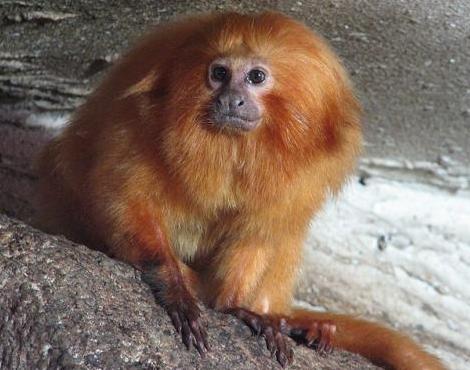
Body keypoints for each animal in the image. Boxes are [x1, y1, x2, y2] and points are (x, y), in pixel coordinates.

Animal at [35, 10, 444, 368]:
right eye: (219, 73)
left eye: (256, 76)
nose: (230, 98)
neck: (235, 149)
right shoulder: (134, 126)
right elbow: (122, 198)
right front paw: (174, 285)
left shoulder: (304, 177)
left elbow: (257, 235)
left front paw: (237, 306)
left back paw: (295, 323)